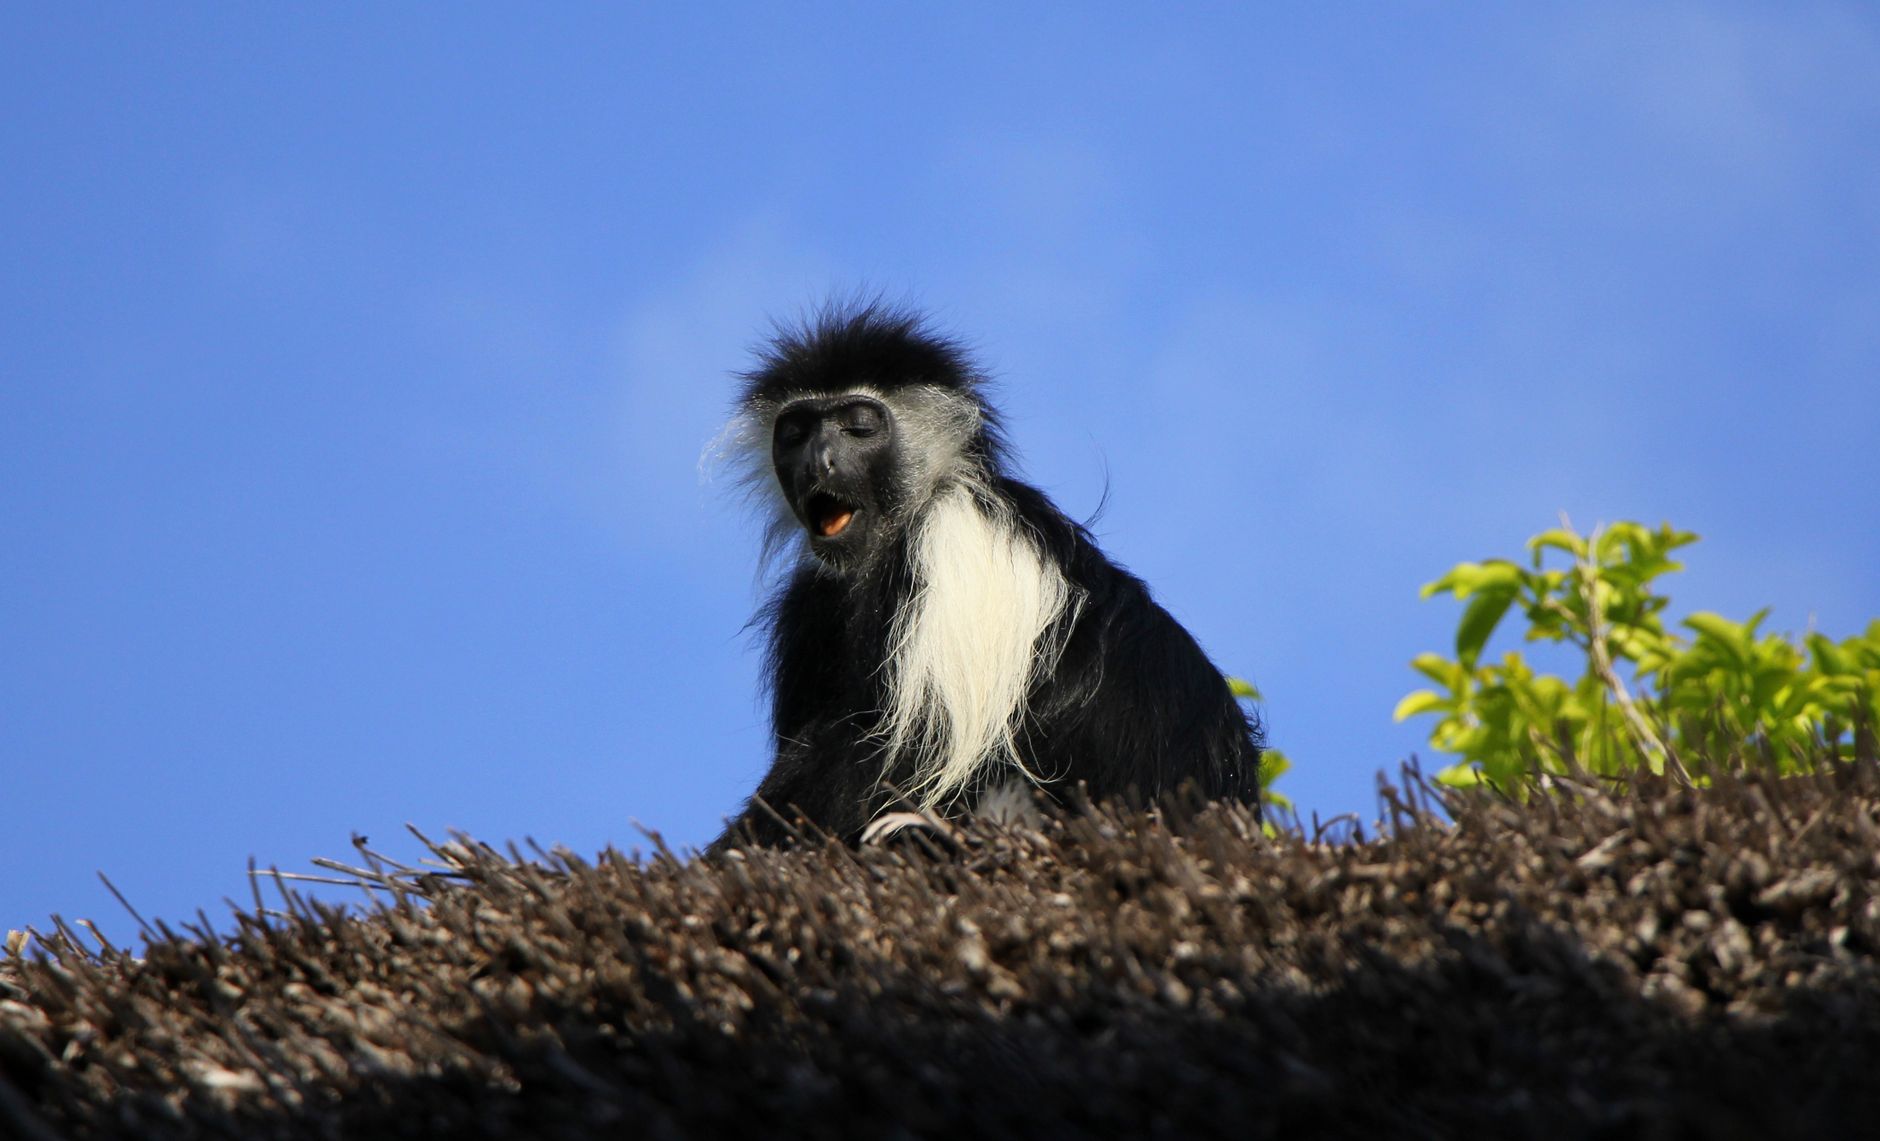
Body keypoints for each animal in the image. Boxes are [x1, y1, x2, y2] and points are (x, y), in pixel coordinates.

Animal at [711, 303, 1262, 848]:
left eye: (859, 427)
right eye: (796, 434)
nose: (818, 463)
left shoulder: (952, 540)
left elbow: (897, 753)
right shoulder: (810, 602)